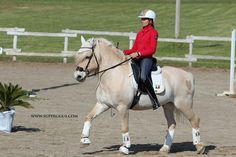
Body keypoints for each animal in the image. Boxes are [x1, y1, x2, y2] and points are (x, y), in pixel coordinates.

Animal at [74, 36, 205, 155]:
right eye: (78, 55)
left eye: (87, 56)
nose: (78, 76)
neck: (113, 74)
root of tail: (187, 75)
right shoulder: (102, 104)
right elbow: (88, 117)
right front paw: (84, 140)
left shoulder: (123, 108)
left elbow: (124, 128)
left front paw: (125, 148)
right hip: (168, 105)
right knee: (172, 124)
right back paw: (165, 148)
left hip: (183, 104)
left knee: (194, 120)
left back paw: (199, 147)